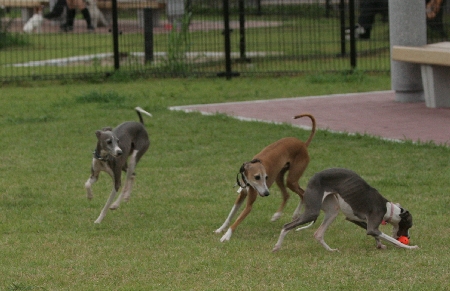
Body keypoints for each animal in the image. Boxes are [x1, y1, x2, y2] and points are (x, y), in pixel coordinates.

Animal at [214, 113, 316, 242]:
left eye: (266, 177)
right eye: (257, 177)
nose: (267, 193)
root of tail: (303, 144)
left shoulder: (249, 206)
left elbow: (237, 220)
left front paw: (226, 236)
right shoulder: (241, 195)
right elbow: (231, 215)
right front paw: (221, 229)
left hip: (291, 179)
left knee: (302, 193)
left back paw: (296, 215)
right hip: (279, 177)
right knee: (287, 194)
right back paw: (277, 215)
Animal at [272, 169, 420, 253]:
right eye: (409, 225)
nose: (408, 238)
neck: (388, 208)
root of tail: (312, 178)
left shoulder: (356, 219)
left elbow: (377, 235)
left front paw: (380, 245)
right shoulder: (373, 225)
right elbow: (388, 237)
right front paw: (409, 247)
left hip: (333, 210)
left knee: (318, 234)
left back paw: (331, 250)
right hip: (312, 211)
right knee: (286, 226)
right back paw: (277, 247)